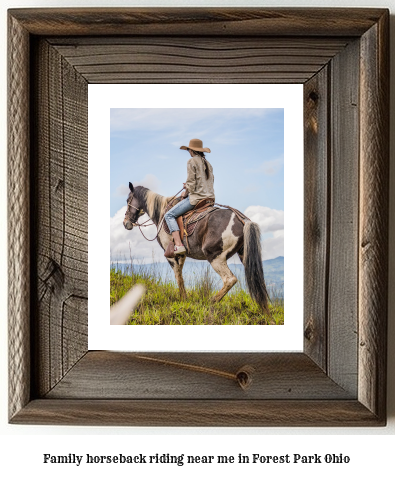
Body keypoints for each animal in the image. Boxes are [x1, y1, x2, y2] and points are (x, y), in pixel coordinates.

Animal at [124, 182, 272, 314]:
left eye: (127, 200)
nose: (126, 223)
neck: (162, 214)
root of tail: (243, 220)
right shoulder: (181, 255)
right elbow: (181, 277)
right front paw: (184, 299)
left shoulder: (170, 255)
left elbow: (178, 276)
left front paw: (183, 300)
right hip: (244, 256)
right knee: (256, 280)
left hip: (215, 257)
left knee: (230, 280)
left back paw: (211, 302)